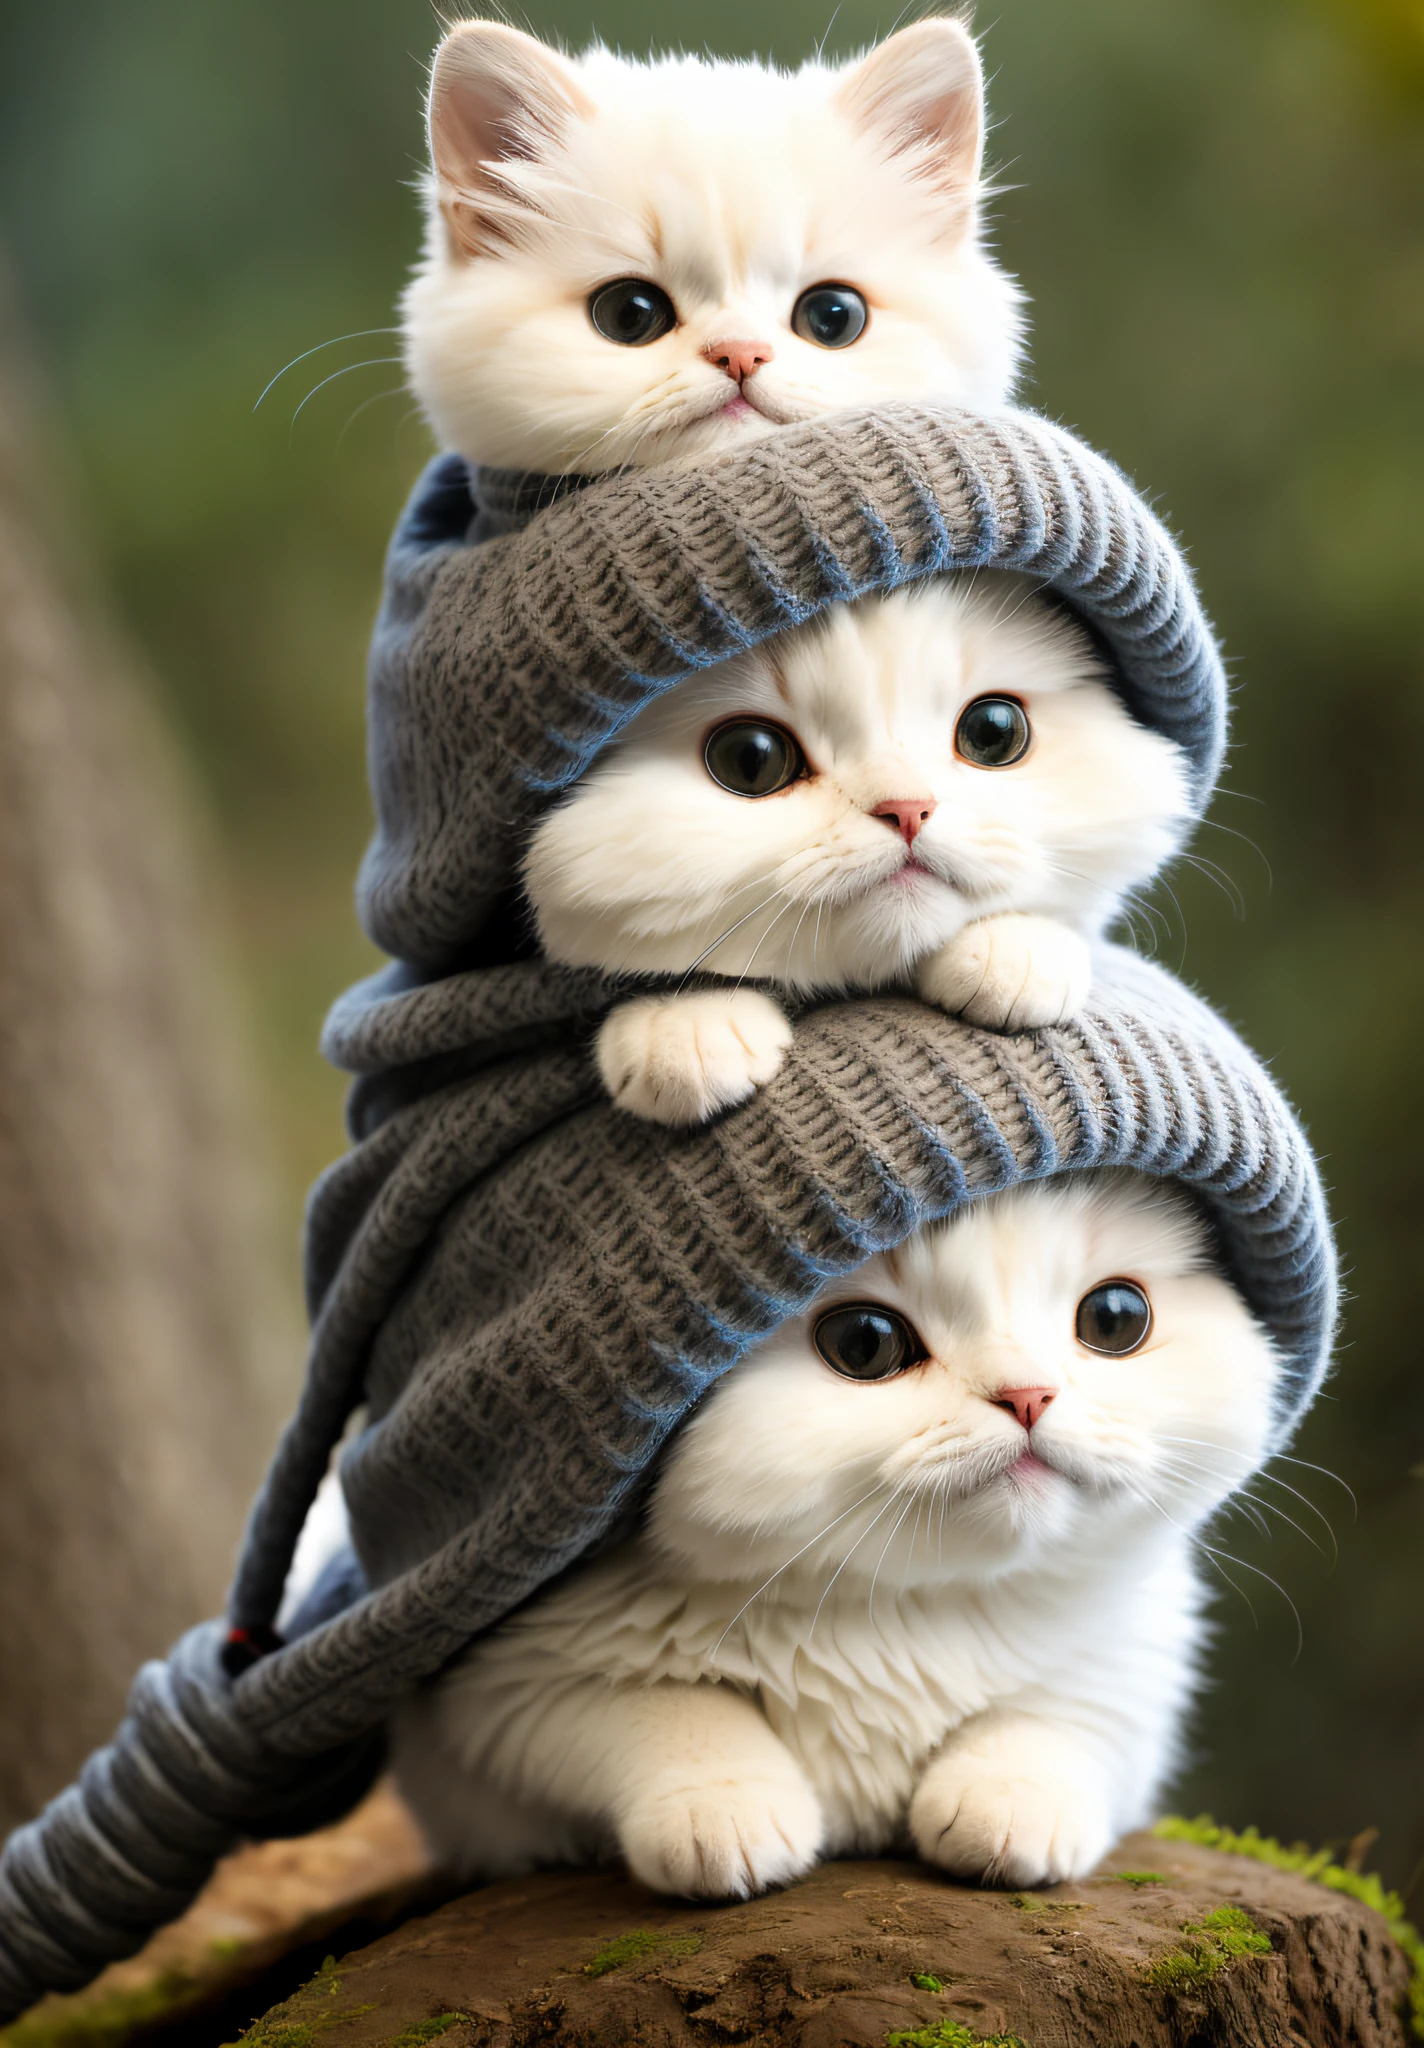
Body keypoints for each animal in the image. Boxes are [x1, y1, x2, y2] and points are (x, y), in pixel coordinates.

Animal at [395, 1179, 1286, 1892]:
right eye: (864, 1343)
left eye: (1113, 1318)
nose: (1029, 1395)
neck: (904, 1609)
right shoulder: (507, 1686)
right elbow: (670, 1709)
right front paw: (724, 1811)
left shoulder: (1134, 1663)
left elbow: (1052, 1718)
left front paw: (1009, 1805)